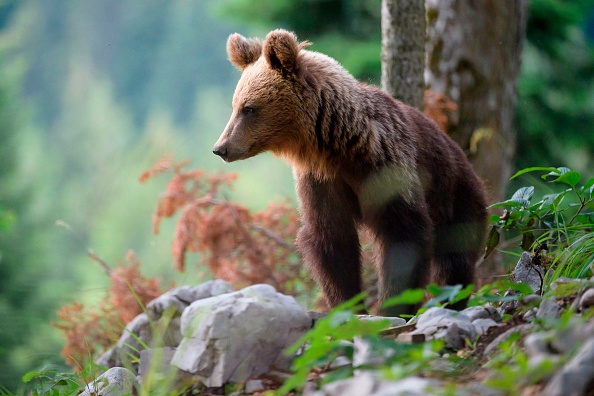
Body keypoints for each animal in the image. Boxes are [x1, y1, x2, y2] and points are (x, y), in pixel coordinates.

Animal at [213, 28, 486, 316]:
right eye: (235, 106)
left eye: (249, 108)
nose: (221, 148)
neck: (341, 147)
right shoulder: (321, 182)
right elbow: (332, 241)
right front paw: (348, 304)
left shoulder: (386, 167)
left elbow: (403, 233)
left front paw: (392, 306)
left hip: (455, 195)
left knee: (455, 257)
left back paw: (451, 300)